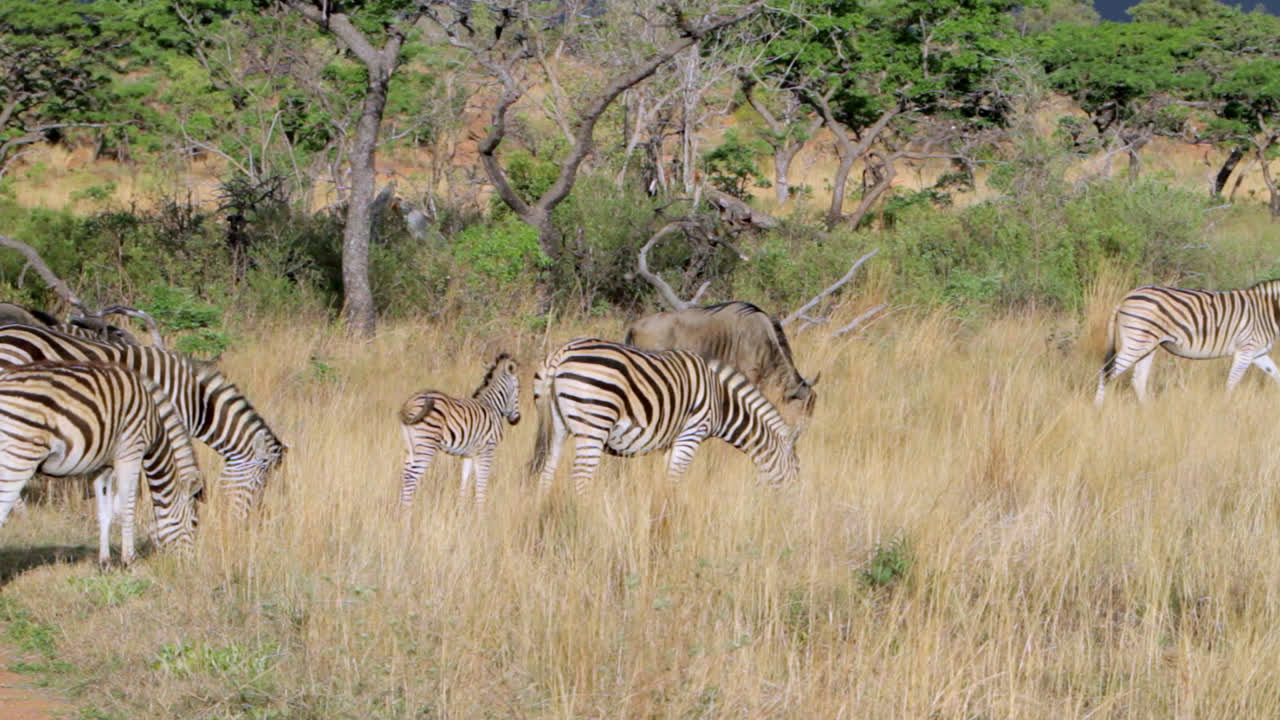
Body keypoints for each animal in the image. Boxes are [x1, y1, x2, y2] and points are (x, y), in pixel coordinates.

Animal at [0, 361, 202, 565]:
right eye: (194, 523)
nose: (190, 562)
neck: (155, 426)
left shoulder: (102, 466)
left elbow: (105, 512)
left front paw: (105, 562)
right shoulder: (131, 452)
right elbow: (127, 507)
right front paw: (129, 560)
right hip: (19, 457)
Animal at [399, 353, 520, 506]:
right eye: (519, 389)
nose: (517, 420)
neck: (493, 406)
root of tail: (410, 402)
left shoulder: (469, 454)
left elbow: (464, 483)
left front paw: (461, 509)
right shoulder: (487, 450)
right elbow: (481, 485)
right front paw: (481, 510)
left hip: (410, 446)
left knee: (404, 474)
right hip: (426, 445)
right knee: (410, 477)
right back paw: (407, 511)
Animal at [530, 338, 799, 494]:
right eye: (796, 468)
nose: (792, 508)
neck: (721, 401)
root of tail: (561, 353)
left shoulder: (671, 441)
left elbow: (663, 481)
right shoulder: (691, 435)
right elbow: (673, 482)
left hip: (557, 426)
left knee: (547, 473)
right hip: (594, 424)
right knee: (581, 479)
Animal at [1096, 280, 1280, 406]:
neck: (1269, 311)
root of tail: (1126, 296)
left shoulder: (1258, 353)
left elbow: (1276, 375)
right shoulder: (1246, 349)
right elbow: (1232, 382)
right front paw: (1225, 408)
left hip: (1147, 345)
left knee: (1138, 379)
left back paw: (1148, 412)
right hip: (1136, 342)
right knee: (1107, 372)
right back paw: (1098, 411)